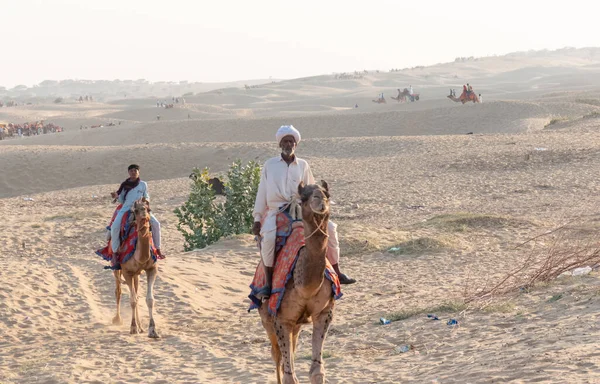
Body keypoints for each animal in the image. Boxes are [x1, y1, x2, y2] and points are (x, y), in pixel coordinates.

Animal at [112, 200, 161, 338]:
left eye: (149, 209)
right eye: (136, 211)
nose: (144, 216)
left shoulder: (152, 269)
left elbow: (149, 299)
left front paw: (152, 330)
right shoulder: (127, 272)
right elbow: (132, 300)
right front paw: (133, 328)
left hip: (136, 275)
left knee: (137, 293)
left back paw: (141, 327)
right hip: (117, 268)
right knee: (118, 291)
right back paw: (117, 319)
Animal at [256, 181, 336, 384]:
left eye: (327, 194)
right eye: (304, 197)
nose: (320, 200)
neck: (306, 287)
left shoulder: (324, 312)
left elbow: (317, 372)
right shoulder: (281, 319)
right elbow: (289, 377)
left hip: (297, 324)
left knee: (290, 349)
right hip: (266, 319)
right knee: (276, 355)